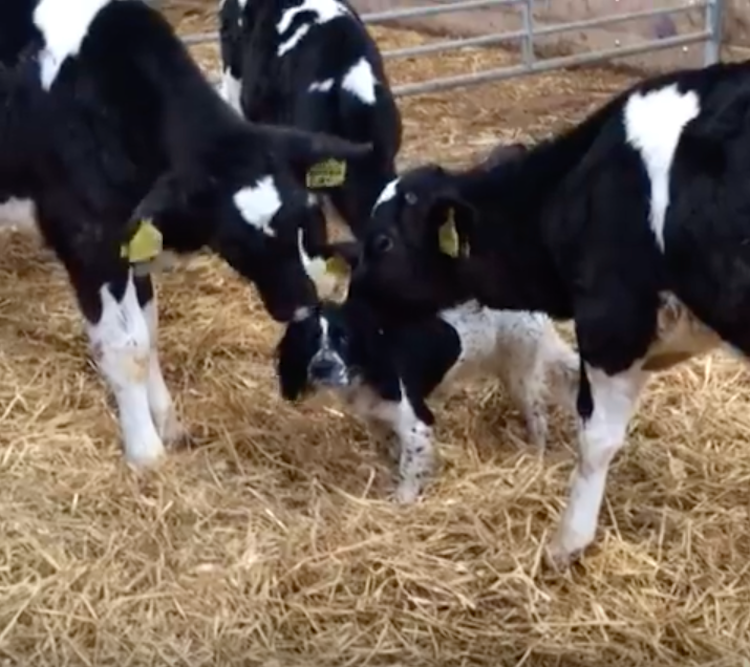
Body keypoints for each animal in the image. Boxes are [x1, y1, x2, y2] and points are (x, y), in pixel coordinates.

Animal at [0, 0, 374, 470]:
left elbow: (147, 334)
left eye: (308, 216)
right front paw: (146, 453)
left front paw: (169, 424)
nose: (305, 302)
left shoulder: (135, 237)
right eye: (236, 240)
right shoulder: (89, 241)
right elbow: (123, 347)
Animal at [280, 245, 580, 500]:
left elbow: (409, 470)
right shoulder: (376, 421)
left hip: (520, 372)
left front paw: (403, 502)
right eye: (308, 341)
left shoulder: (415, 422)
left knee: (538, 418)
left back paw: (535, 457)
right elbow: (392, 455)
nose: (322, 367)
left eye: (344, 338)